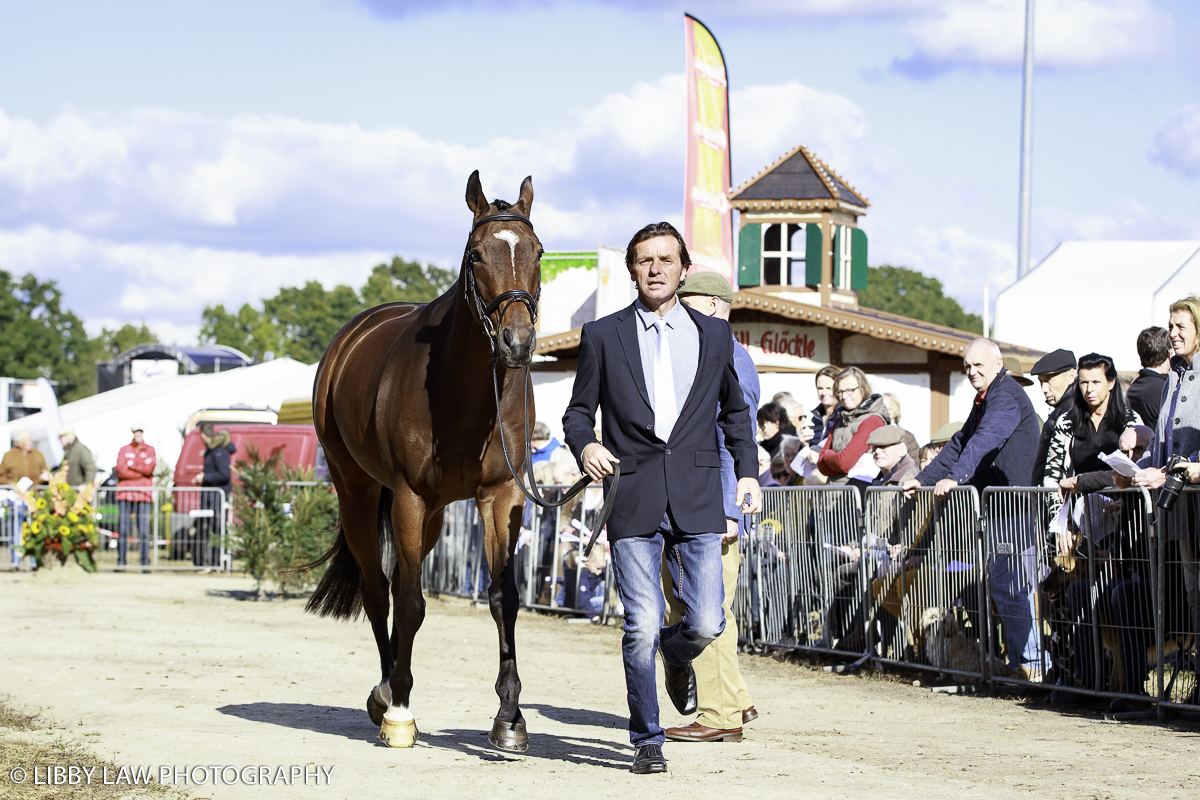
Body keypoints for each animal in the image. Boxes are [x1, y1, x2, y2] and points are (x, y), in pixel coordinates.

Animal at [304, 170, 544, 753]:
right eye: (477, 254)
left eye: (538, 252)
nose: (518, 342)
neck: (462, 391)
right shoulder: (409, 497)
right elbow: (411, 602)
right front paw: (400, 713)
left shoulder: (500, 496)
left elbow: (503, 598)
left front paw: (510, 717)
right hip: (361, 494)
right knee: (379, 588)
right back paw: (388, 694)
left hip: (433, 516)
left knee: (393, 582)